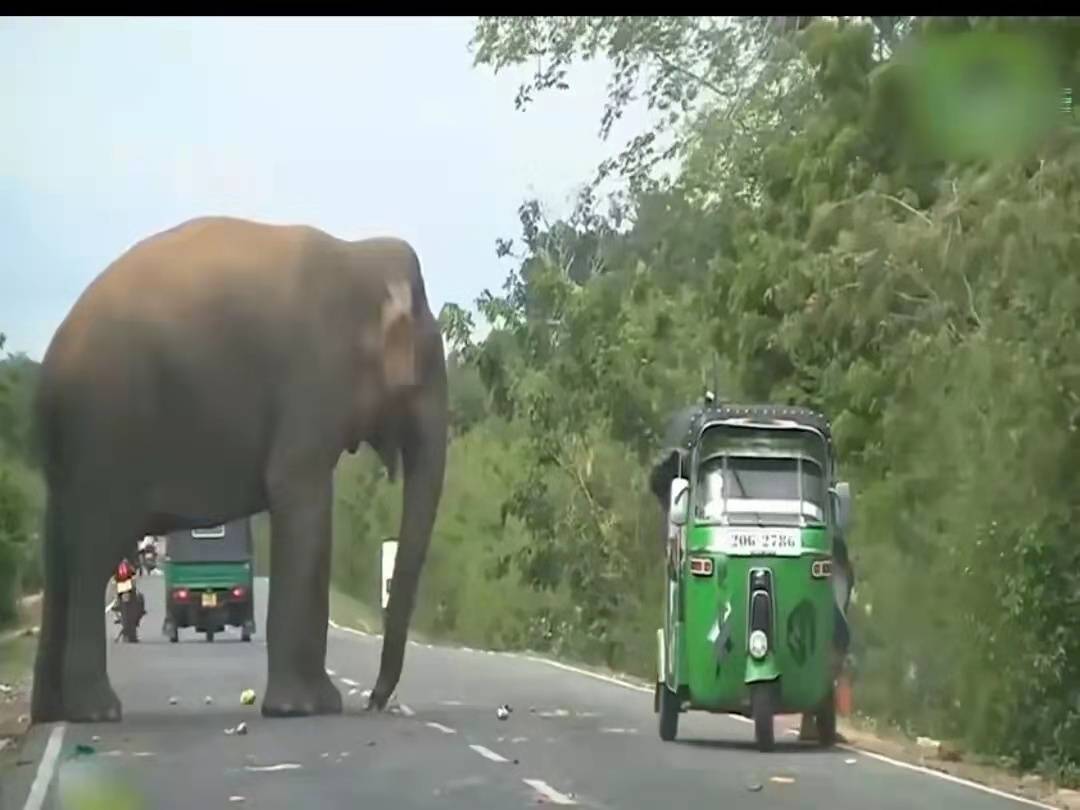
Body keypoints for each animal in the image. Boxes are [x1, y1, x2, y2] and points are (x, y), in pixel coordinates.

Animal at [29, 213, 444, 721]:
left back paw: (51, 714)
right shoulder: (313, 380)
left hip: (73, 448)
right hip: (107, 430)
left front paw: (315, 705)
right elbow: (303, 506)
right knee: (93, 555)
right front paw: (303, 708)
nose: (374, 702)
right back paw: (99, 712)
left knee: (58, 553)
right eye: (426, 366)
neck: (361, 257)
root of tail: (50, 371)